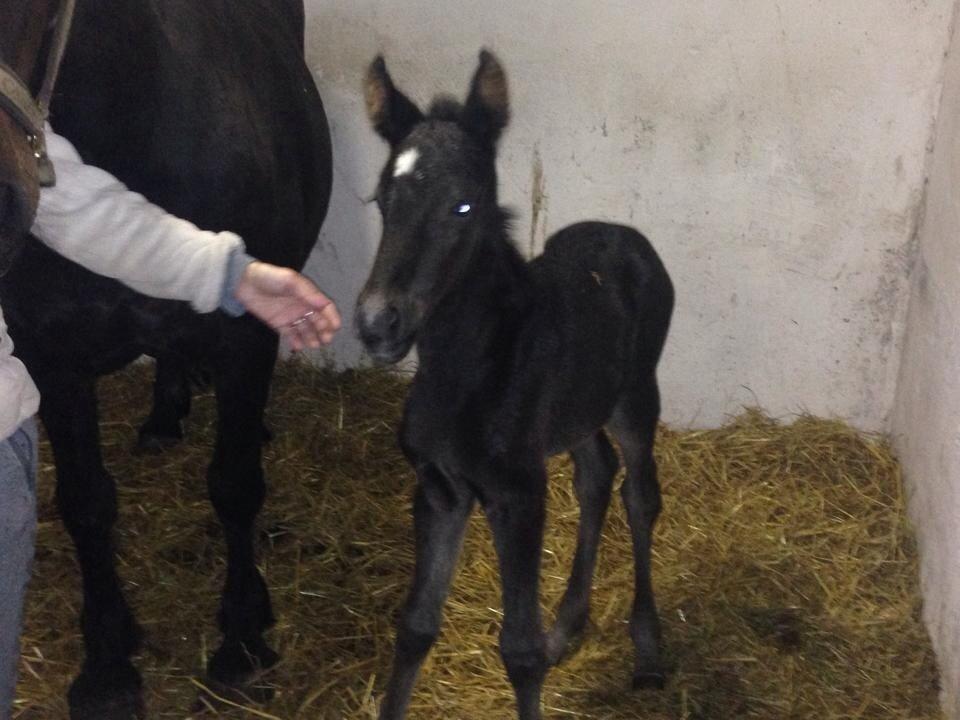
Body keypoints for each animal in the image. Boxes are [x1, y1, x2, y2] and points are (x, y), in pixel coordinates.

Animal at [354, 52, 676, 720]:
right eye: (382, 199)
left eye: (463, 206)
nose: (377, 323)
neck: (467, 372)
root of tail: (624, 235)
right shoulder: (440, 489)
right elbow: (416, 626)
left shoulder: (519, 495)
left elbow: (518, 651)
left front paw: (539, 649)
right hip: (578, 413)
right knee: (596, 474)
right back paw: (568, 626)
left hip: (635, 396)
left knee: (639, 493)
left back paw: (648, 652)